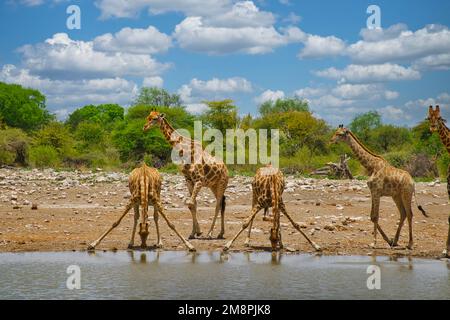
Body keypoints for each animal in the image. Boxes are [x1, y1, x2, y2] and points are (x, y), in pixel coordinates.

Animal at [144, 111, 229, 239]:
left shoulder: (199, 180)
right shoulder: (189, 181)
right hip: (213, 186)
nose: (144, 127)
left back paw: (210, 233)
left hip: (221, 184)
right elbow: (192, 205)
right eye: (147, 117)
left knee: (218, 204)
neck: (183, 150)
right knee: (223, 202)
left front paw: (199, 232)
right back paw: (220, 233)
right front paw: (194, 233)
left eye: (154, 118)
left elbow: (190, 203)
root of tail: (227, 169)